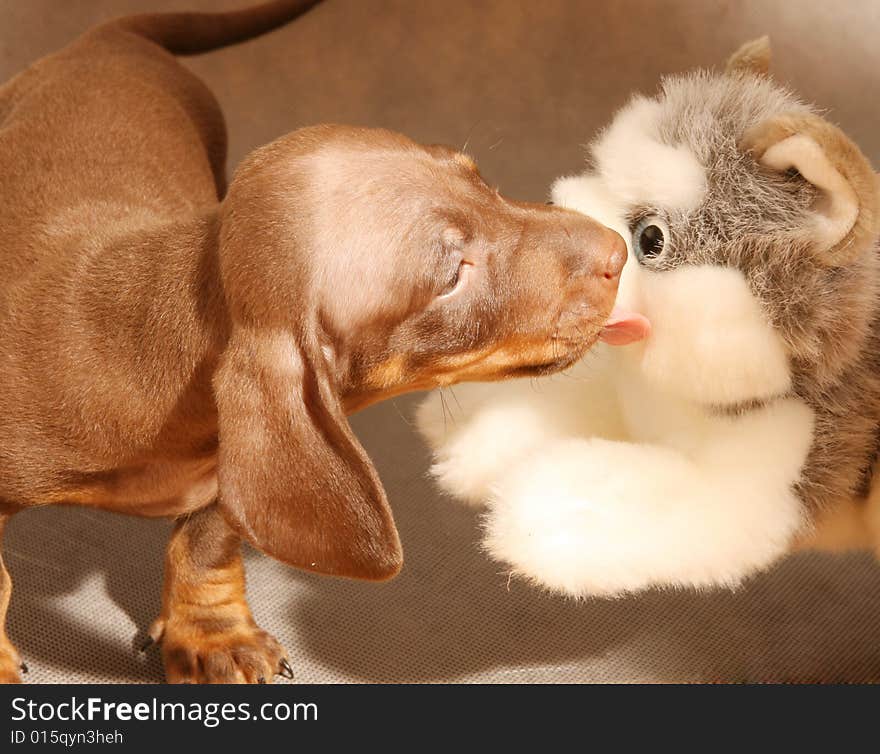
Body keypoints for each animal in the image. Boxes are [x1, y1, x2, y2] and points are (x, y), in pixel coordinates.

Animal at [0, 1, 624, 680]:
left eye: (481, 182)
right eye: (451, 276)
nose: (623, 248)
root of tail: (108, 36)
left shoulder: (231, 463)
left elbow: (205, 540)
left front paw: (210, 635)